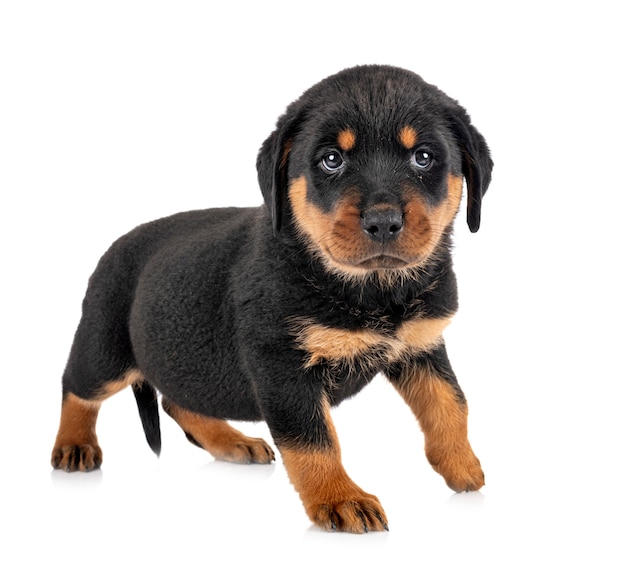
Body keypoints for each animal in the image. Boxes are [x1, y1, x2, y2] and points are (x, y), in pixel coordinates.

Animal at [51, 64, 490, 532]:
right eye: (331, 159)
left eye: (422, 157)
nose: (384, 222)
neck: (373, 289)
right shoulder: (282, 366)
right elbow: (314, 441)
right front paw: (339, 499)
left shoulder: (420, 344)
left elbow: (450, 404)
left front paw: (462, 465)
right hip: (106, 345)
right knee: (77, 386)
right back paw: (74, 445)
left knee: (176, 401)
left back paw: (232, 442)